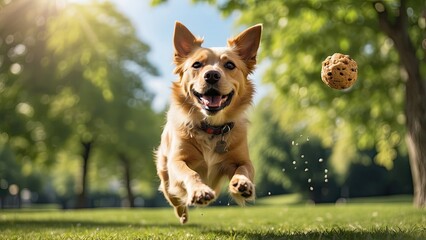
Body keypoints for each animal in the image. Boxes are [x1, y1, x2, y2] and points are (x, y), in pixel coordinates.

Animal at [155, 21, 262, 224]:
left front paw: (242, 183)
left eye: (230, 65)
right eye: (197, 64)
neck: (211, 127)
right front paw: (199, 191)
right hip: (165, 175)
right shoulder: (177, 161)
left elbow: (244, 169)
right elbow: (190, 172)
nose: (212, 75)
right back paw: (183, 215)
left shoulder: (242, 159)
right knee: (174, 198)